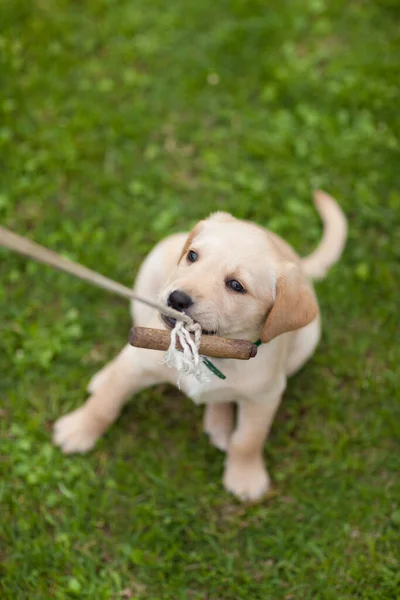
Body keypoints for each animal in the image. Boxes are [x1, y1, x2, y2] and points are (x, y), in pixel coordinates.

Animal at [53, 192, 346, 502]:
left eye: (236, 285)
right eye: (193, 256)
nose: (177, 299)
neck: (209, 350)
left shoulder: (265, 396)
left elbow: (248, 440)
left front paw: (245, 478)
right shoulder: (137, 363)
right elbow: (105, 403)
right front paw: (78, 430)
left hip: (308, 338)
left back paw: (218, 423)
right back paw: (103, 376)